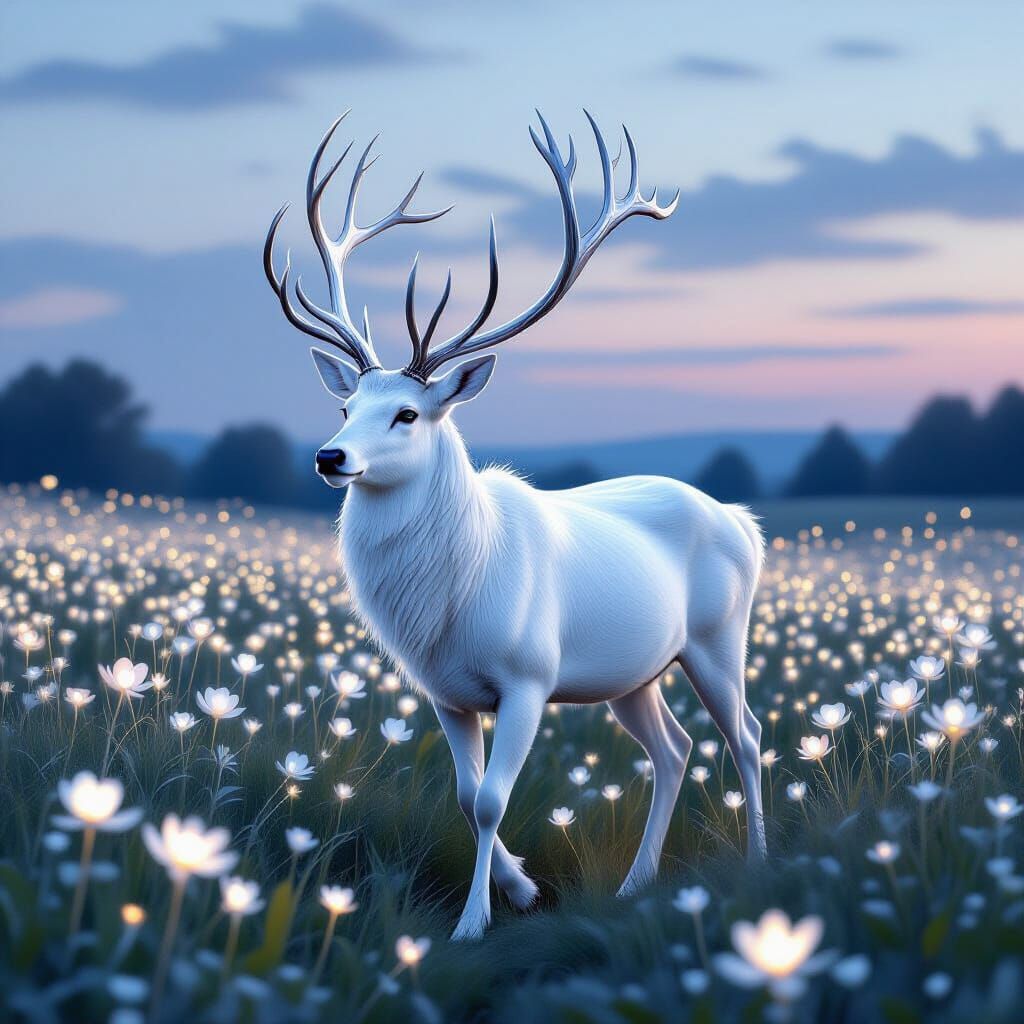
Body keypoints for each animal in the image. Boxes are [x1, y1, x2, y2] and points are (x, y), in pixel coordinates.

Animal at [264, 110, 767, 940]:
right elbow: (469, 797)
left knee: (746, 736)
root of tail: (741, 520)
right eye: (345, 405)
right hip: (633, 674)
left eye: (407, 414)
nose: (330, 457)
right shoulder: (444, 691)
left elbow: (494, 800)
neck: (450, 599)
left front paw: (474, 923)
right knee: (675, 747)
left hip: (718, 638)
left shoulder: (529, 676)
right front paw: (524, 889)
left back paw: (758, 859)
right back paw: (634, 884)